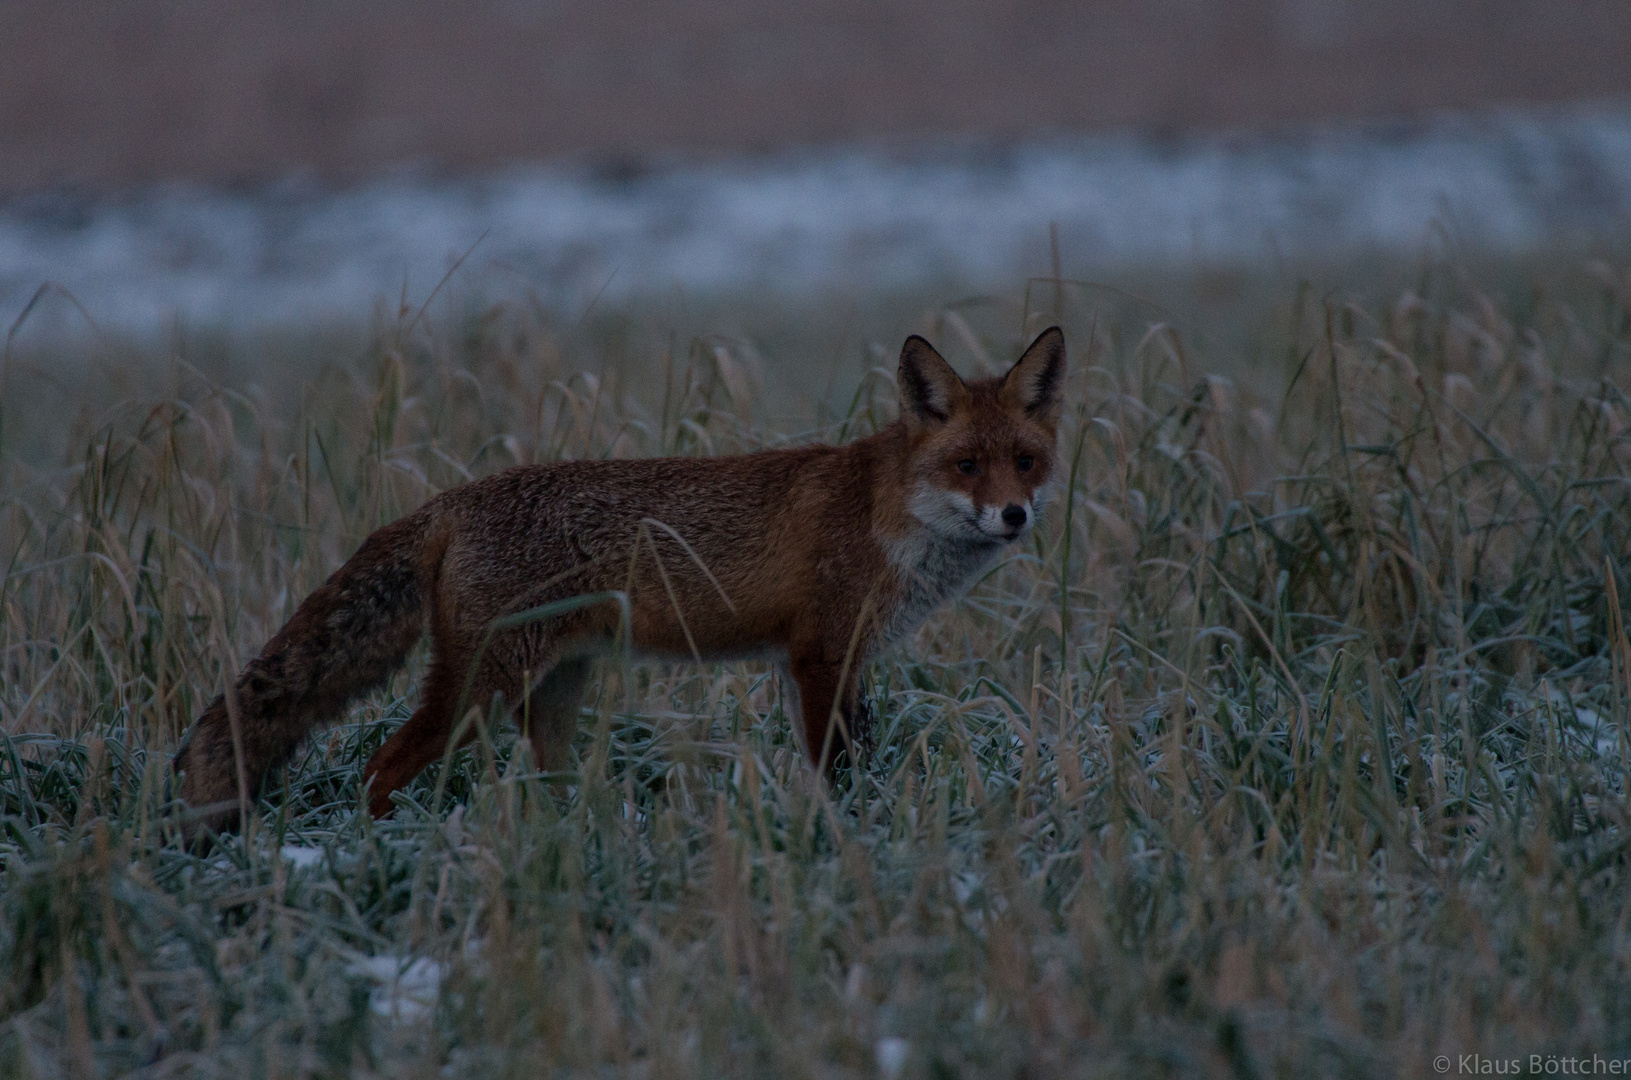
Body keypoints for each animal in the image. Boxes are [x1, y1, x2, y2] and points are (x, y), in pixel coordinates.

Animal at [175, 329, 1069, 835]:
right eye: (966, 465)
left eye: (1025, 461)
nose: (1013, 516)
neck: (887, 516)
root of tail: (449, 500)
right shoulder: (820, 657)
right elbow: (834, 767)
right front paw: (841, 830)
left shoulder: (820, 662)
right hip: (479, 690)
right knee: (382, 763)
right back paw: (382, 852)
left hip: (554, 694)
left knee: (541, 778)